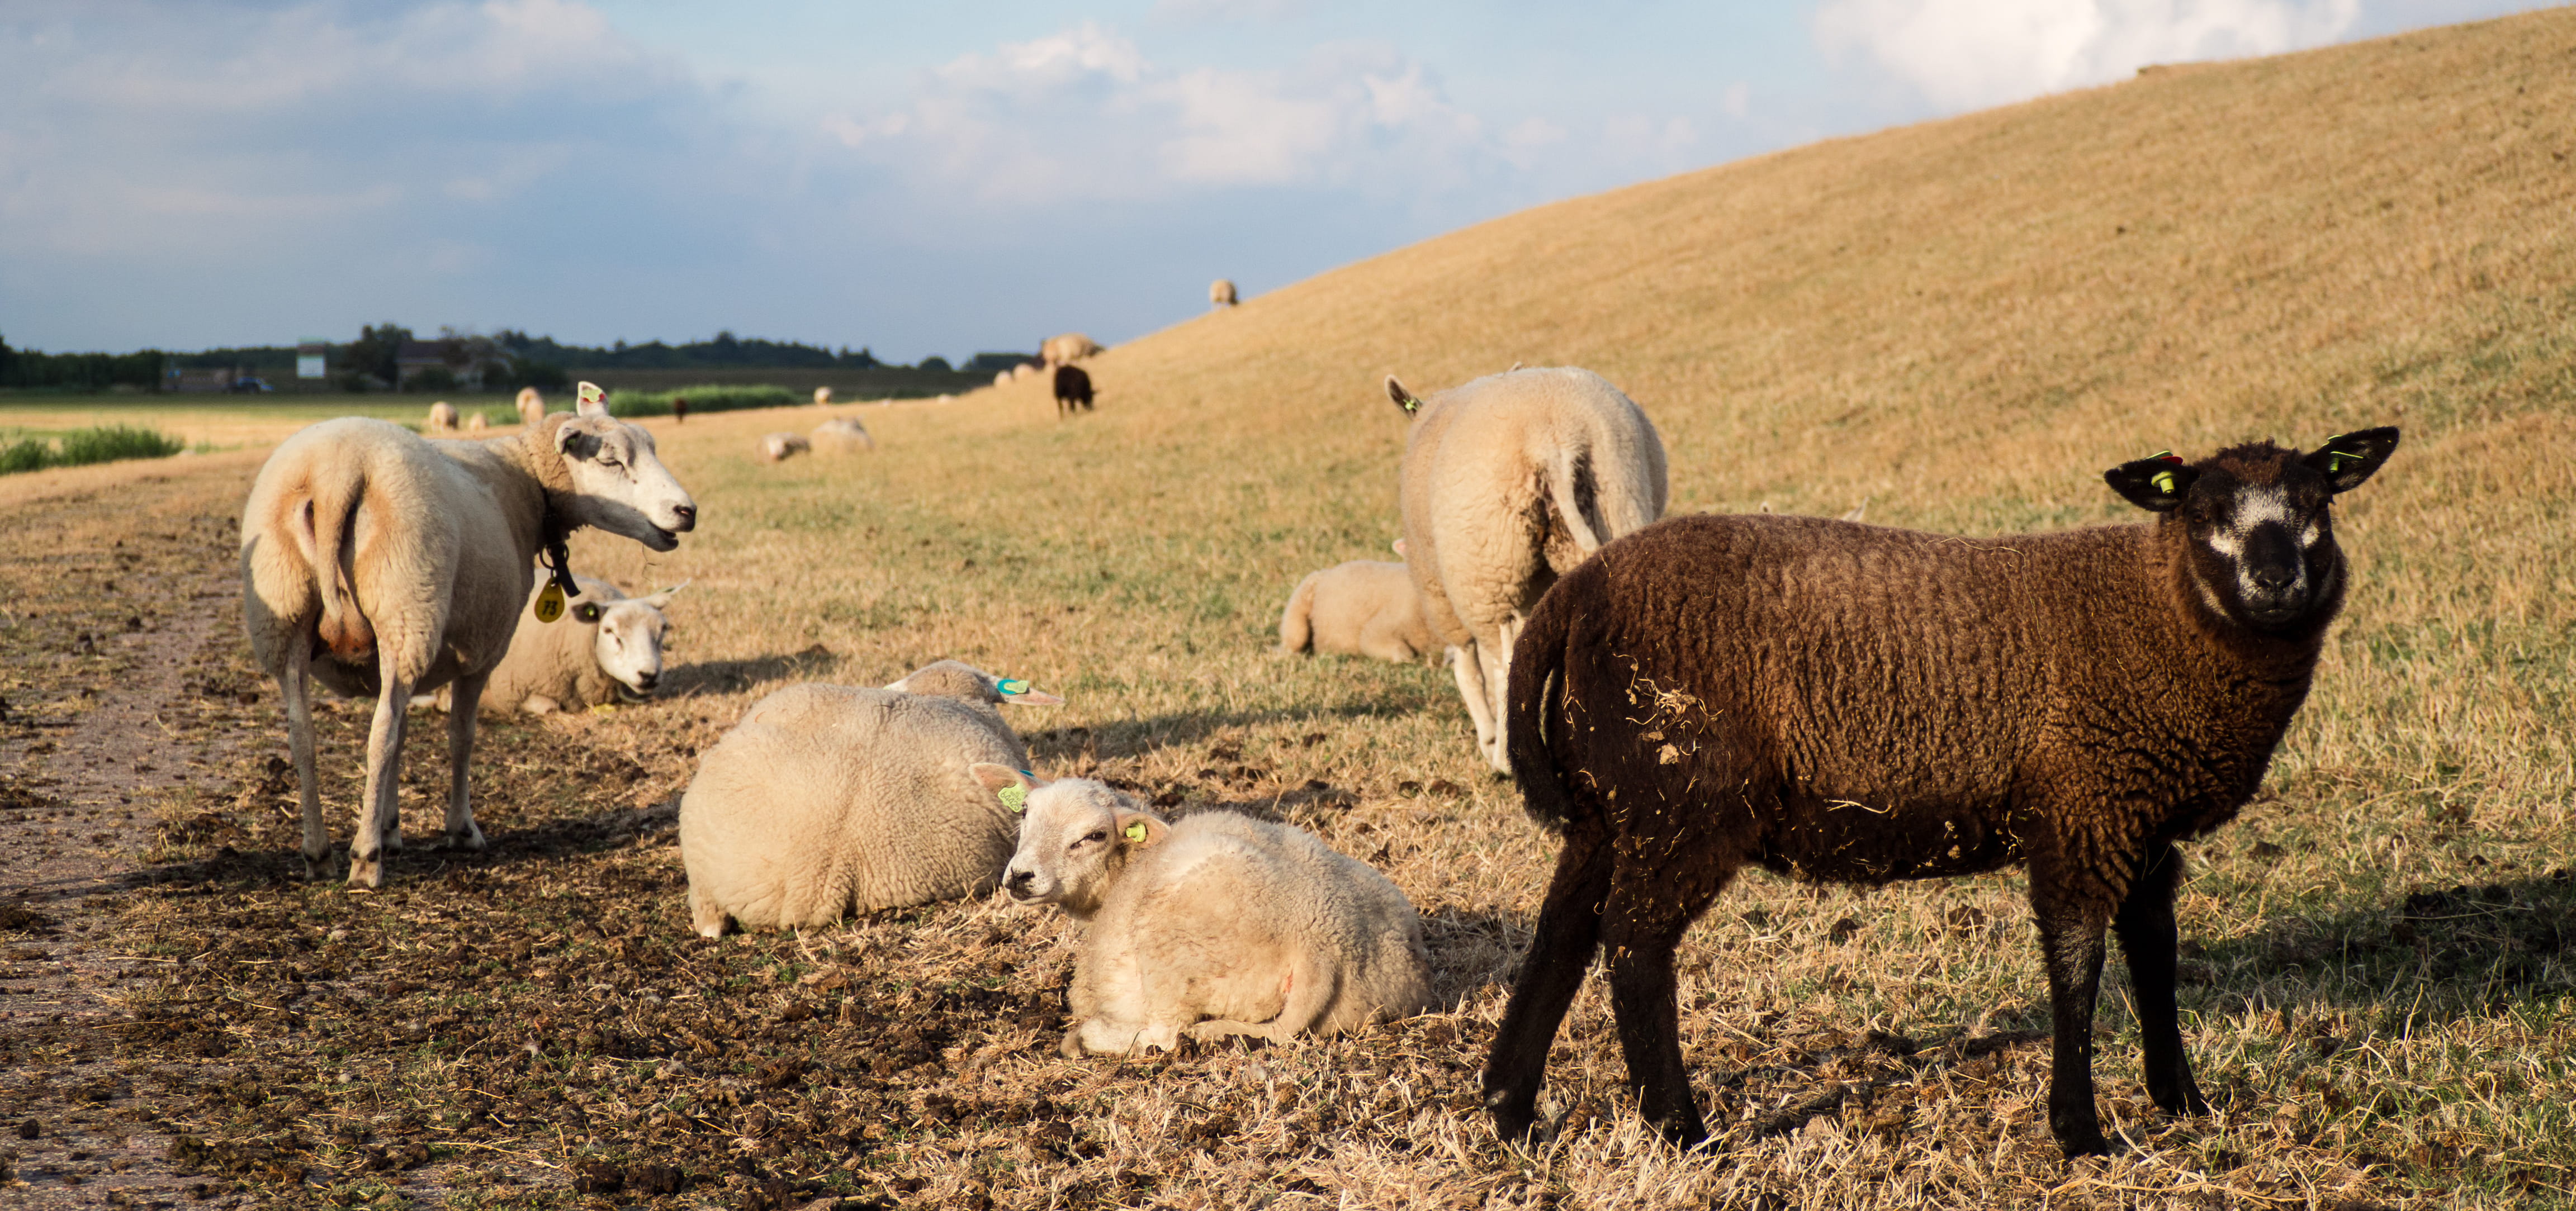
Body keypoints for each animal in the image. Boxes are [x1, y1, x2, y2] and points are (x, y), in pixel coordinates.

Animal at [977, 768, 1435, 1055]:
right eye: (1023, 812)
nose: (1021, 876)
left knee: (1164, 1034)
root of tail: (1323, 944)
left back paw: (1088, 1039)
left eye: (1094, 836)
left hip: (1171, 952)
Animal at [1389, 366, 1668, 772]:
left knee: (1509, 663)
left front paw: (1489, 739)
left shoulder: (1442, 592)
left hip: (1495, 570)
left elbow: (1468, 669)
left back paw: (1507, 759)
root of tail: (1554, 439)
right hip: (1617, 506)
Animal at [1481, 429, 2403, 1157]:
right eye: (2205, 512)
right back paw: (1682, 1132)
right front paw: (2081, 1131)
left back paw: (1511, 1109)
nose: (2278, 581)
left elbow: (2154, 949)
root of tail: (1575, 593)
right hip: (1686, 802)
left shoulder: (2138, 818)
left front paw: (2183, 1100)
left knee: (1562, 934)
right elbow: (2078, 959)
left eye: (2318, 502)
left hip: (1613, 808)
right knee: (1635, 946)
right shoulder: (2085, 805)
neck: (2156, 608)